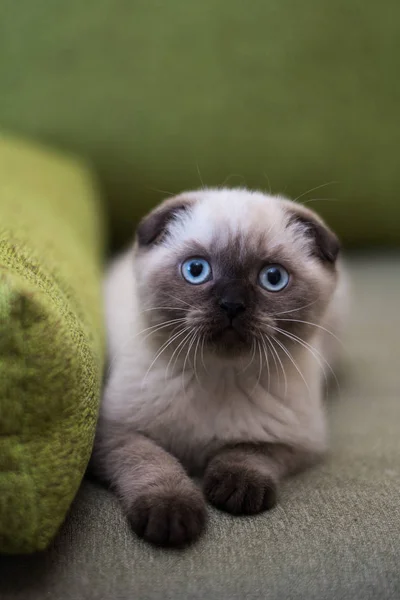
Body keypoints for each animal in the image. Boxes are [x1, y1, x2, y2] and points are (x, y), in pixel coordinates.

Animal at [93, 189, 346, 548]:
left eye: (273, 278)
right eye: (196, 270)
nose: (232, 305)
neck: (220, 374)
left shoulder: (294, 443)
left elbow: (247, 453)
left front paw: (237, 490)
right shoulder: (115, 431)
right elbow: (152, 460)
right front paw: (171, 516)